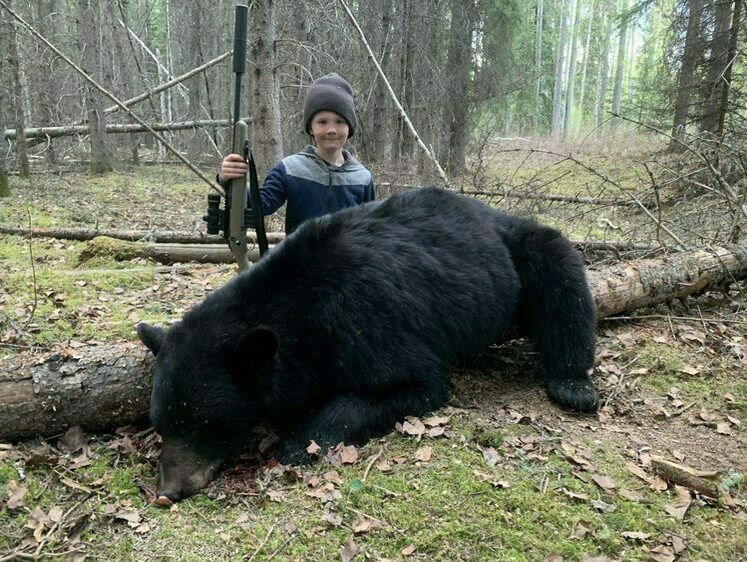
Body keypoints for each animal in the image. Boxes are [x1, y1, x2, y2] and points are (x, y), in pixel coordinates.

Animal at [137, 188, 600, 498]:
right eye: (162, 425)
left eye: (204, 425)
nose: (169, 491)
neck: (302, 313)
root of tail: (488, 212)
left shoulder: (366, 322)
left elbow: (408, 385)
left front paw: (297, 442)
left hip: (521, 250)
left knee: (561, 275)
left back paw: (574, 385)